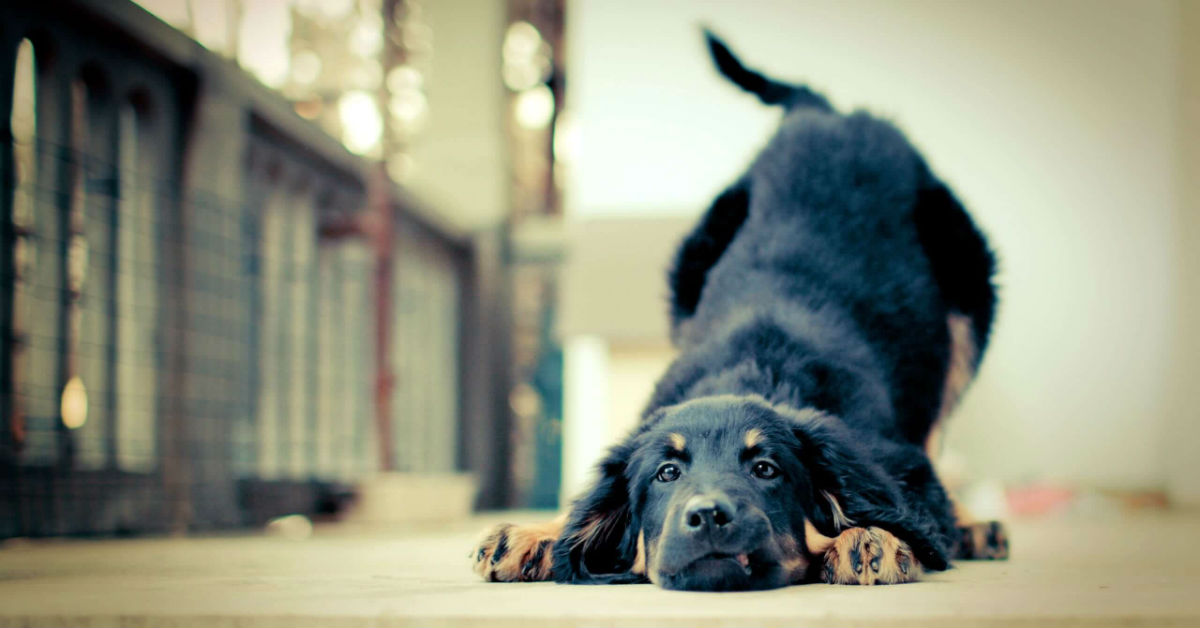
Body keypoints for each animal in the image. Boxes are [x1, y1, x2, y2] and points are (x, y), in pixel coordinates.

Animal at [472, 29, 1008, 590]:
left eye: (765, 469)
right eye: (667, 473)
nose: (708, 515)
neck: (757, 371)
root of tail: (829, 115)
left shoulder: (894, 455)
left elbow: (907, 497)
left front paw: (873, 535)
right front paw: (536, 533)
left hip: (969, 297)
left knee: (939, 428)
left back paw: (974, 525)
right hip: (693, 268)